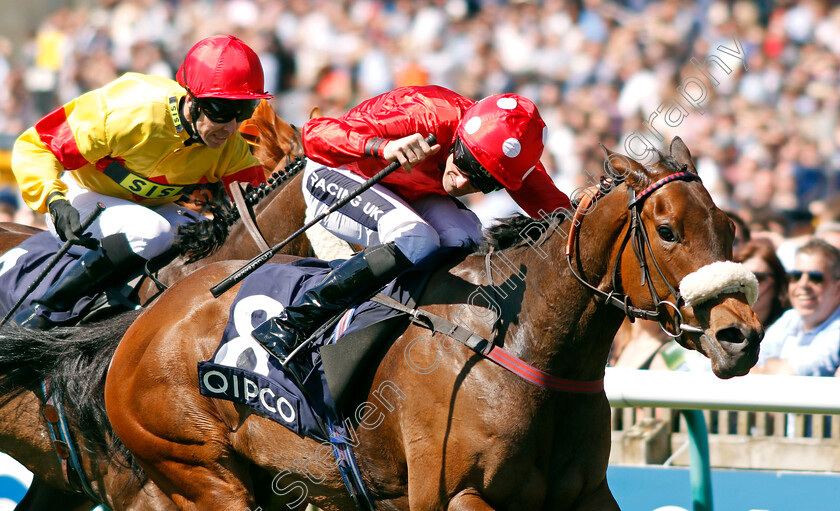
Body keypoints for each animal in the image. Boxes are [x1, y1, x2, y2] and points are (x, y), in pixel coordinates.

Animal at [100, 138, 768, 510]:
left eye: (729, 227)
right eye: (668, 230)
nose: (739, 337)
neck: (523, 342)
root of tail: (144, 319)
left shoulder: (585, 495)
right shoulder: (456, 494)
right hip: (199, 472)